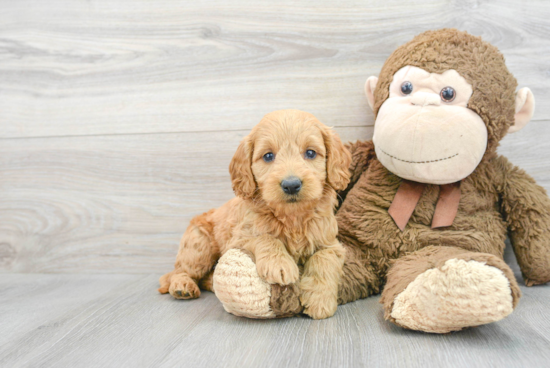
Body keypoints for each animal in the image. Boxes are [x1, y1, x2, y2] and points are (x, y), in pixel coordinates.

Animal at [160, 109, 352, 320]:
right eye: (268, 156)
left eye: (310, 153)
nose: (291, 185)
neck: (292, 217)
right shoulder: (238, 238)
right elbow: (265, 238)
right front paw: (280, 264)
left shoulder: (330, 242)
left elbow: (324, 259)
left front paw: (320, 301)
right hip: (198, 247)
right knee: (179, 270)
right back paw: (182, 286)